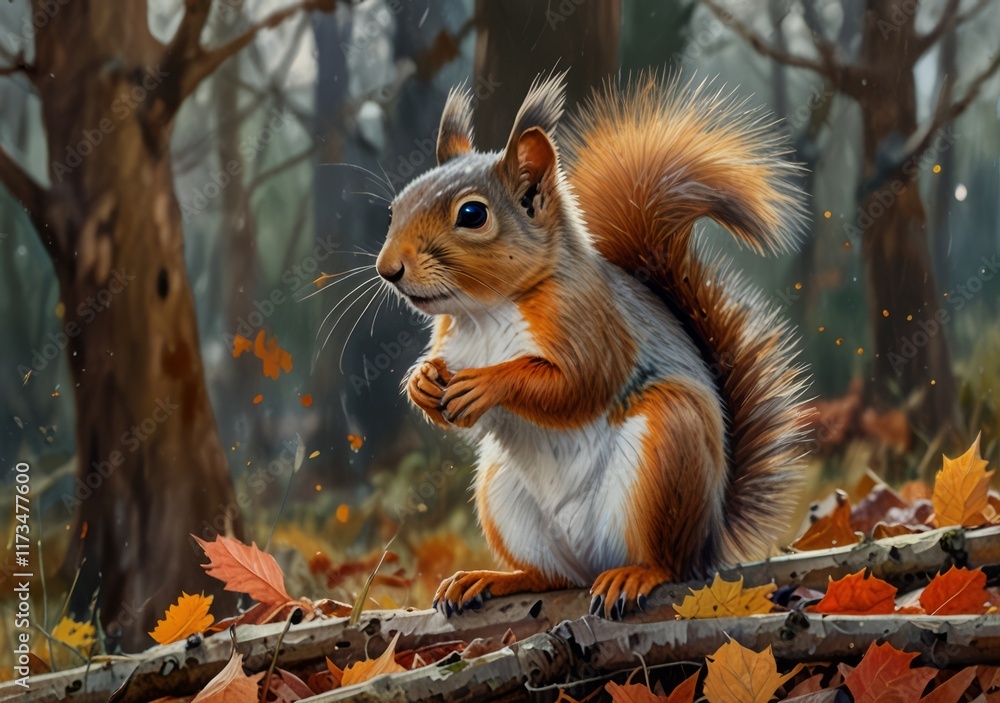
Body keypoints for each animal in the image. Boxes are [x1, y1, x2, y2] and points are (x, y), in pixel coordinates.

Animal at [375, 72, 810, 619]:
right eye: (395, 208)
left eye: (472, 214)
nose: (387, 269)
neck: (487, 311)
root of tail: (707, 542)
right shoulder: (451, 339)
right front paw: (422, 383)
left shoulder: (594, 327)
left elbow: (575, 387)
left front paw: (487, 384)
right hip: (503, 495)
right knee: (550, 577)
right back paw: (491, 578)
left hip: (668, 448)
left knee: (665, 562)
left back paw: (635, 575)